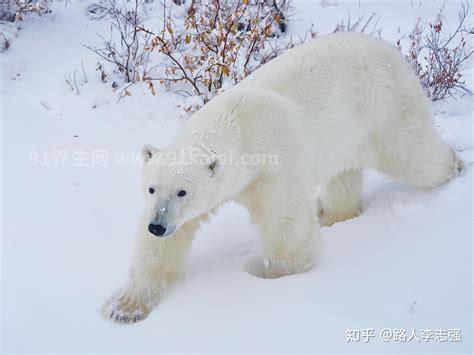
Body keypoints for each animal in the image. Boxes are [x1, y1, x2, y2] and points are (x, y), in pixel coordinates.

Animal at [102, 32, 462, 324]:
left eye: (182, 192)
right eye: (151, 188)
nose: (158, 225)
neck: (238, 126)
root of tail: (390, 49)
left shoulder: (274, 163)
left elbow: (288, 226)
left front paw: (274, 277)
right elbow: (166, 245)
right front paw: (124, 307)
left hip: (385, 106)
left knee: (412, 154)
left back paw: (455, 166)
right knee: (344, 175)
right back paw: (334, 215)